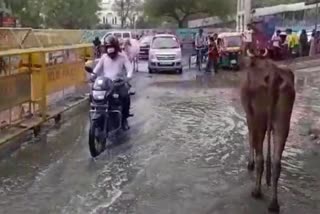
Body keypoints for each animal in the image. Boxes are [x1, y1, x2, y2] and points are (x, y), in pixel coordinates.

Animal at [241, 49, 296, 212]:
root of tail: (273, 73)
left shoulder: (249, 115)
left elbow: (250, 138)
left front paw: (250, 163)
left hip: (260, 119)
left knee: (261, 157)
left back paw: (257, 191)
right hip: (283, 121)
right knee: (277, 162)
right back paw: (274, 203)